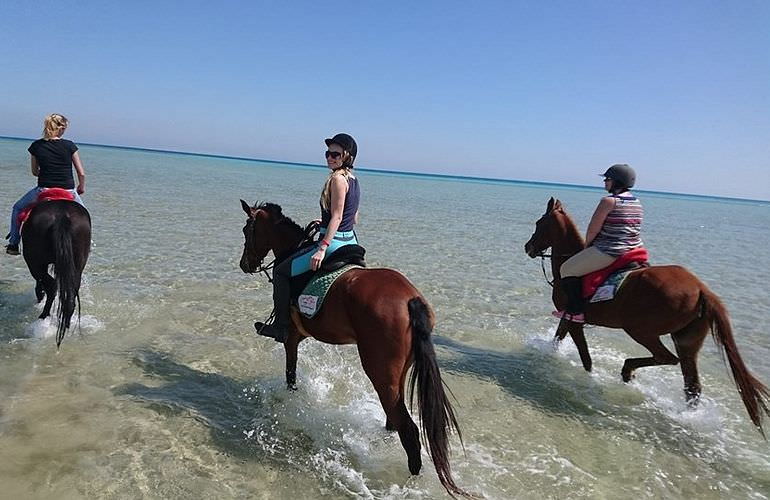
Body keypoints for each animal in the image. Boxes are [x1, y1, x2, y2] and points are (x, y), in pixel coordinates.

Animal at [20, 199, 91, 348]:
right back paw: (66, 324)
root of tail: (62, 216)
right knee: (70, 293)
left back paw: (43, 316)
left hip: (34, 262)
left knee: (51, 285)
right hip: (77, 265)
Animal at [240, 200, 468, 496]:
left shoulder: (291, 338)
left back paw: (409, 484)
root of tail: (410, 299)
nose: (244, 264)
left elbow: (290, 376)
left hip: (379, 371)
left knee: (409, 432)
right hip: (396, 375)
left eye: (247, 231)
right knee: (394, 419)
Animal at [520, 197, 768, 436]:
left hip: (641, 330)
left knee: (666, 358)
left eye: (539, 223)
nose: (527, 247)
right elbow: (558, 338)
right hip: (687, 341)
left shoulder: (574, 321)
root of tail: (701, 289)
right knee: (692, 385)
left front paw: (589, 378)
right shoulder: (568, 318)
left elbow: (584, 357)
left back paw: (628, 370)